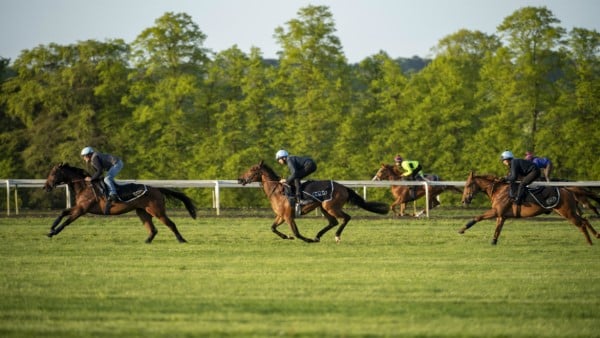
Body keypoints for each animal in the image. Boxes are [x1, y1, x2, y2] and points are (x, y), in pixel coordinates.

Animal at [43, 163, 197, 243]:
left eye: (53, 173)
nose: (46, 187)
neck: (85, 186)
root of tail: (156, 188)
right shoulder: (80, 207)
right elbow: (63, 212)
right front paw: (51, 228)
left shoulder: (82, 209)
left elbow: (67, 221)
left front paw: (53, 232)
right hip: (142, 212)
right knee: (152, 229)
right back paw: (146, 241)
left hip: (157, 211)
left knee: (171, 224)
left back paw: (181, 240)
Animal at [239, 160, 390, 242]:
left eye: (252, 169)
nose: (240, 179)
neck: (278, 191)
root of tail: (344, 187)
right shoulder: (281, 216)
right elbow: (273, 228)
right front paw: (287, 237)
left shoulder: (288, 216)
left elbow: (296, 233)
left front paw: (307, 240)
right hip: (324, 207)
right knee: (333, 222)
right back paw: (318, 236)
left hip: (331, 207)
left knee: (346, 218)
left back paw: (336, 236)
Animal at [458, 172, 596, 246]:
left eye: (468, 185)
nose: (464, 201)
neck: (499, 190)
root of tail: (567, 189)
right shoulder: (502, 215)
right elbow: (497, 229)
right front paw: (493, 242)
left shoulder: (496, 211)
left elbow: (478, 217)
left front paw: (462, 229)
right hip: (566, 212)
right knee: (585, 220)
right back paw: (597, 235)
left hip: (567, 212)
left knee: (582, 224)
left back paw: (590, 243)